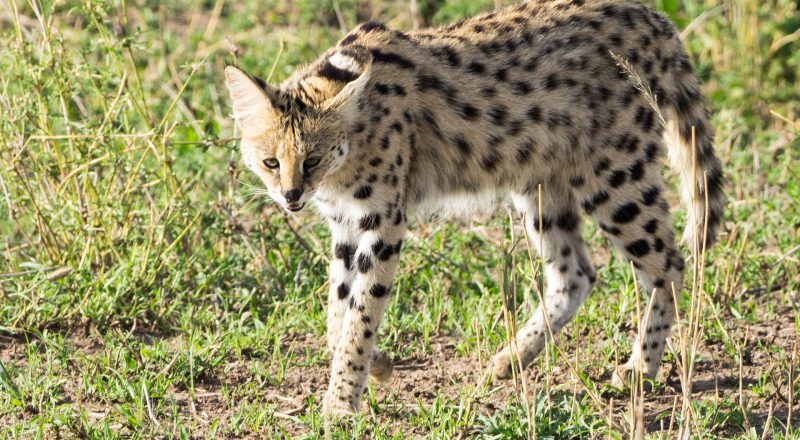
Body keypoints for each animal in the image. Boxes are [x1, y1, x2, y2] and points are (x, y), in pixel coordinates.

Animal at [224, 0, 725, 417]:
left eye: (311, 159)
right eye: (271, 162)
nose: (291, 197)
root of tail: (651, 16)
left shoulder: (383, 221)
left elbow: (361, 312)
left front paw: (341, 403)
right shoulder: (345, 225)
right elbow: (338, 312)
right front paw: (373, 366)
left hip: (615, 178)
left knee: (670, 264)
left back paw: (641, 367)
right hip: (541, 188)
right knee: (576, 274)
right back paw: (512, 358)